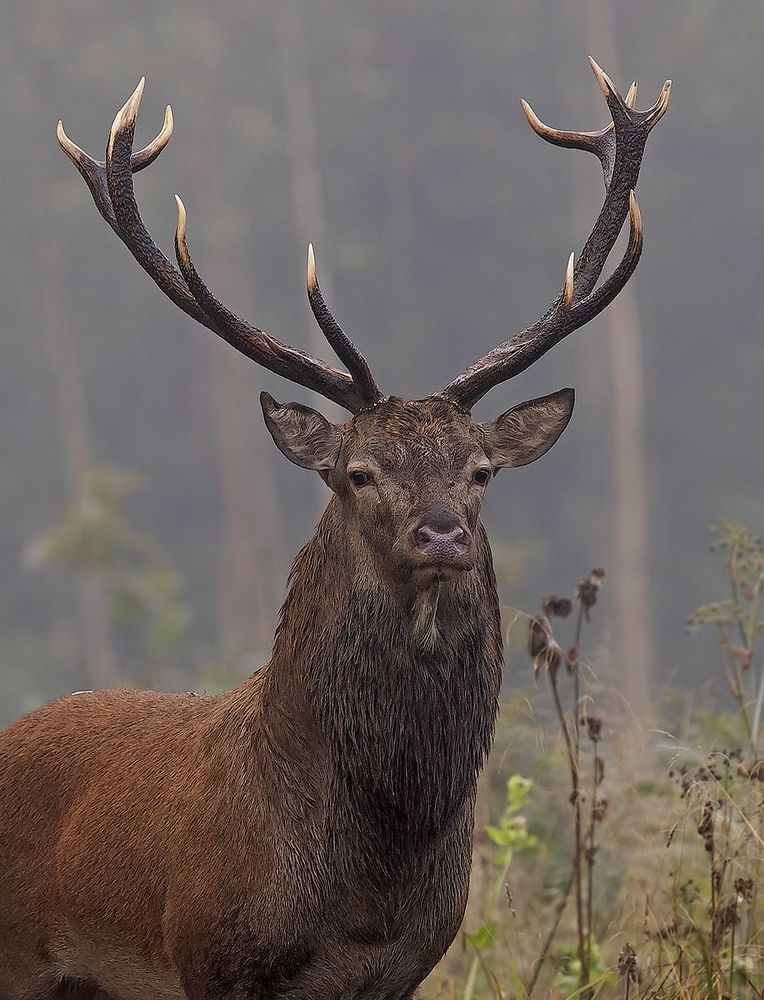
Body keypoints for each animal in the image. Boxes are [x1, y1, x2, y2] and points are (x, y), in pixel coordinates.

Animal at [0, 59, 669, 1000]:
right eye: (359, 473)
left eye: (481, 471)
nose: (441, 536)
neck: (368, 891)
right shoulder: (210, 957)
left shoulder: (407, 965)